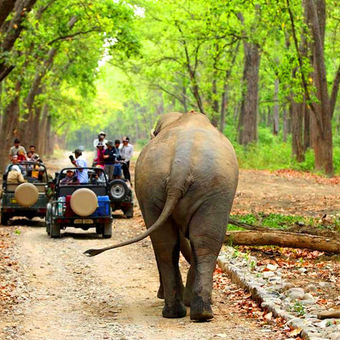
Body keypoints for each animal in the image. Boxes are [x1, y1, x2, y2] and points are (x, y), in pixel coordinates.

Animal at [85, 111, 239, 322]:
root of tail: (181, 165)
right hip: (193, 187)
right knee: (193, 241)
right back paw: (193, 312)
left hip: (191, 186)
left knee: (176, 242)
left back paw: (190, 311)